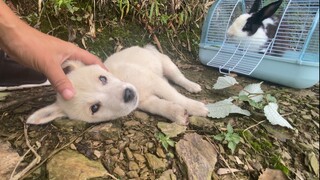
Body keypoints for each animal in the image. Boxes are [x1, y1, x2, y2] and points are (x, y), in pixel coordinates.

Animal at [26, 44, 208, 125]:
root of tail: (144, 46)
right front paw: (177, 113)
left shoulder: (152, 80)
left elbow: (175, 96)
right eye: (94, 108)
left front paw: (196, 107)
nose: (128, 93)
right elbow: (161, 106)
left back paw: (192, 86)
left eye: (103, 78)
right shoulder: (146, 100)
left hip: (165, 62)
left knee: (178, 77)